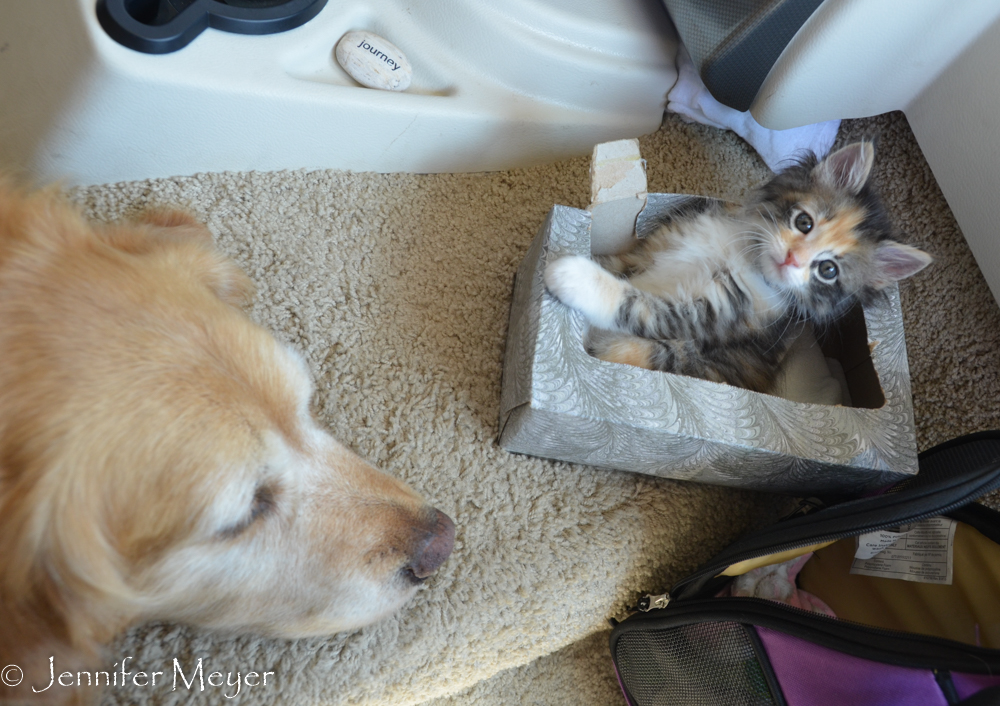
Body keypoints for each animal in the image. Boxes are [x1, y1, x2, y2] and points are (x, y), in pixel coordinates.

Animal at [544, 140, 932, 394]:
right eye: (804, 222)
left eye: (828, 271)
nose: (792, 259)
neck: (744, 256)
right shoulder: (653, 249)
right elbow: (616, 263)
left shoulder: (713, 315)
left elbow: (638, 305)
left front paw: (571, 275)